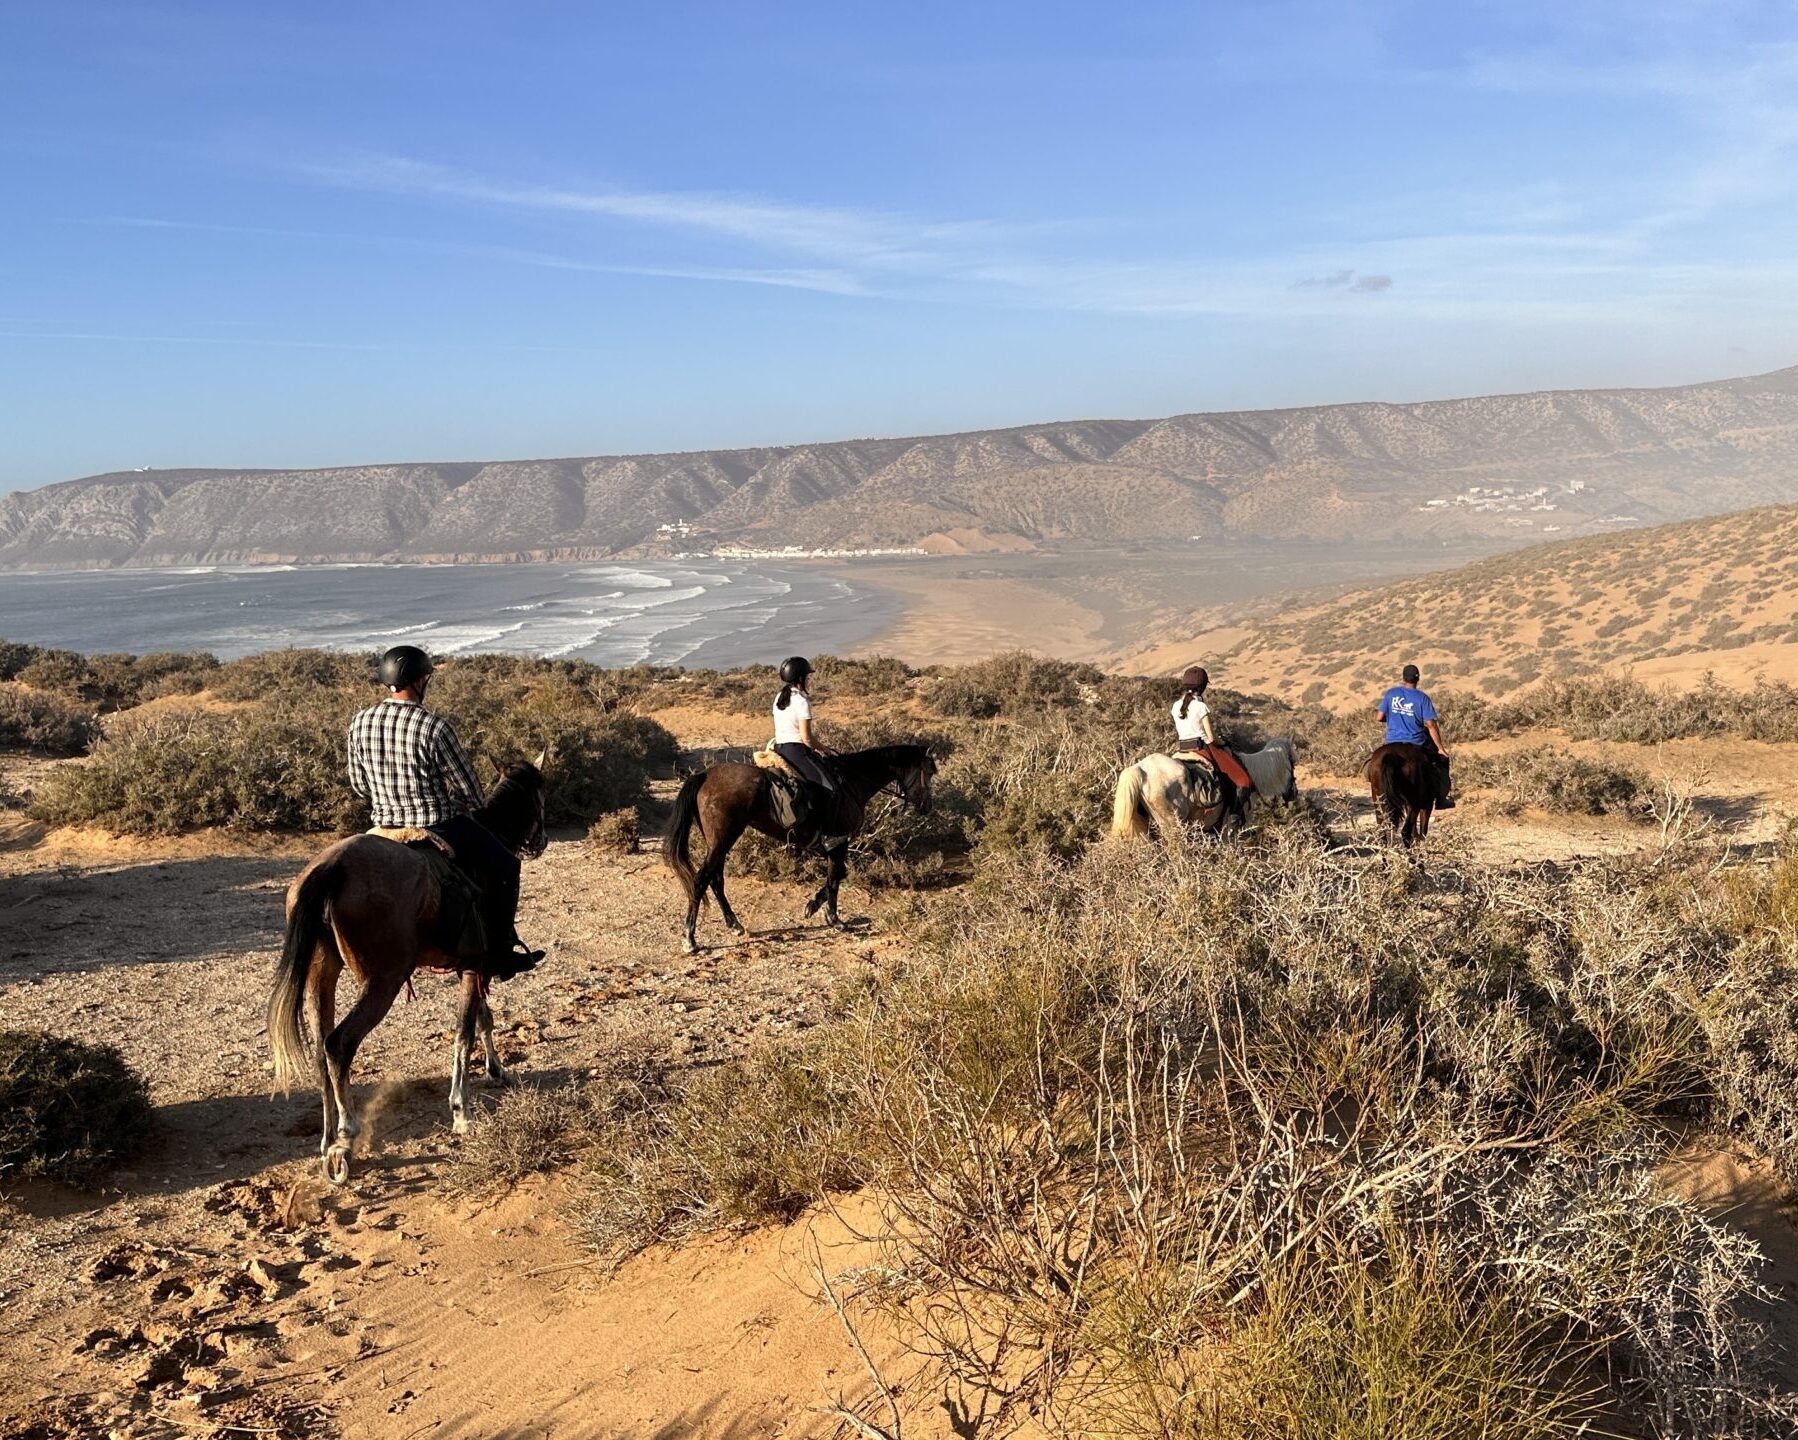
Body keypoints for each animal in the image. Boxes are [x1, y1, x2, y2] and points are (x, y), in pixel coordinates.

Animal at [266, 758, 546, 1186]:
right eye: (541, 796)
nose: (541, 840)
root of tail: (333, 867)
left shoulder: (471, 966)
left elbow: (482, 1019)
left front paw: (497, 1069)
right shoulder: (475, 965)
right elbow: (465, 1032)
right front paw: (462, 1111)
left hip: (320, 976)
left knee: (319, 1050)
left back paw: (328, 1140)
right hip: (384, 981)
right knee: (338, 1044)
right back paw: (346, 1137)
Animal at [665, 740, 942, 956]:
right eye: (929, 771)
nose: (927, 806)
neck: (853, 780)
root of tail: (704, 775)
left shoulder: (832, 844)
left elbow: (838, 874)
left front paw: (814, 905)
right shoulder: (839, 841)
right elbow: (835, 877)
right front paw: (833, 919)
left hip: (717, 841)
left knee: (716, 879)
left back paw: (734, 924)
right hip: (724, 838)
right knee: (701, 880)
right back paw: (690, 939)